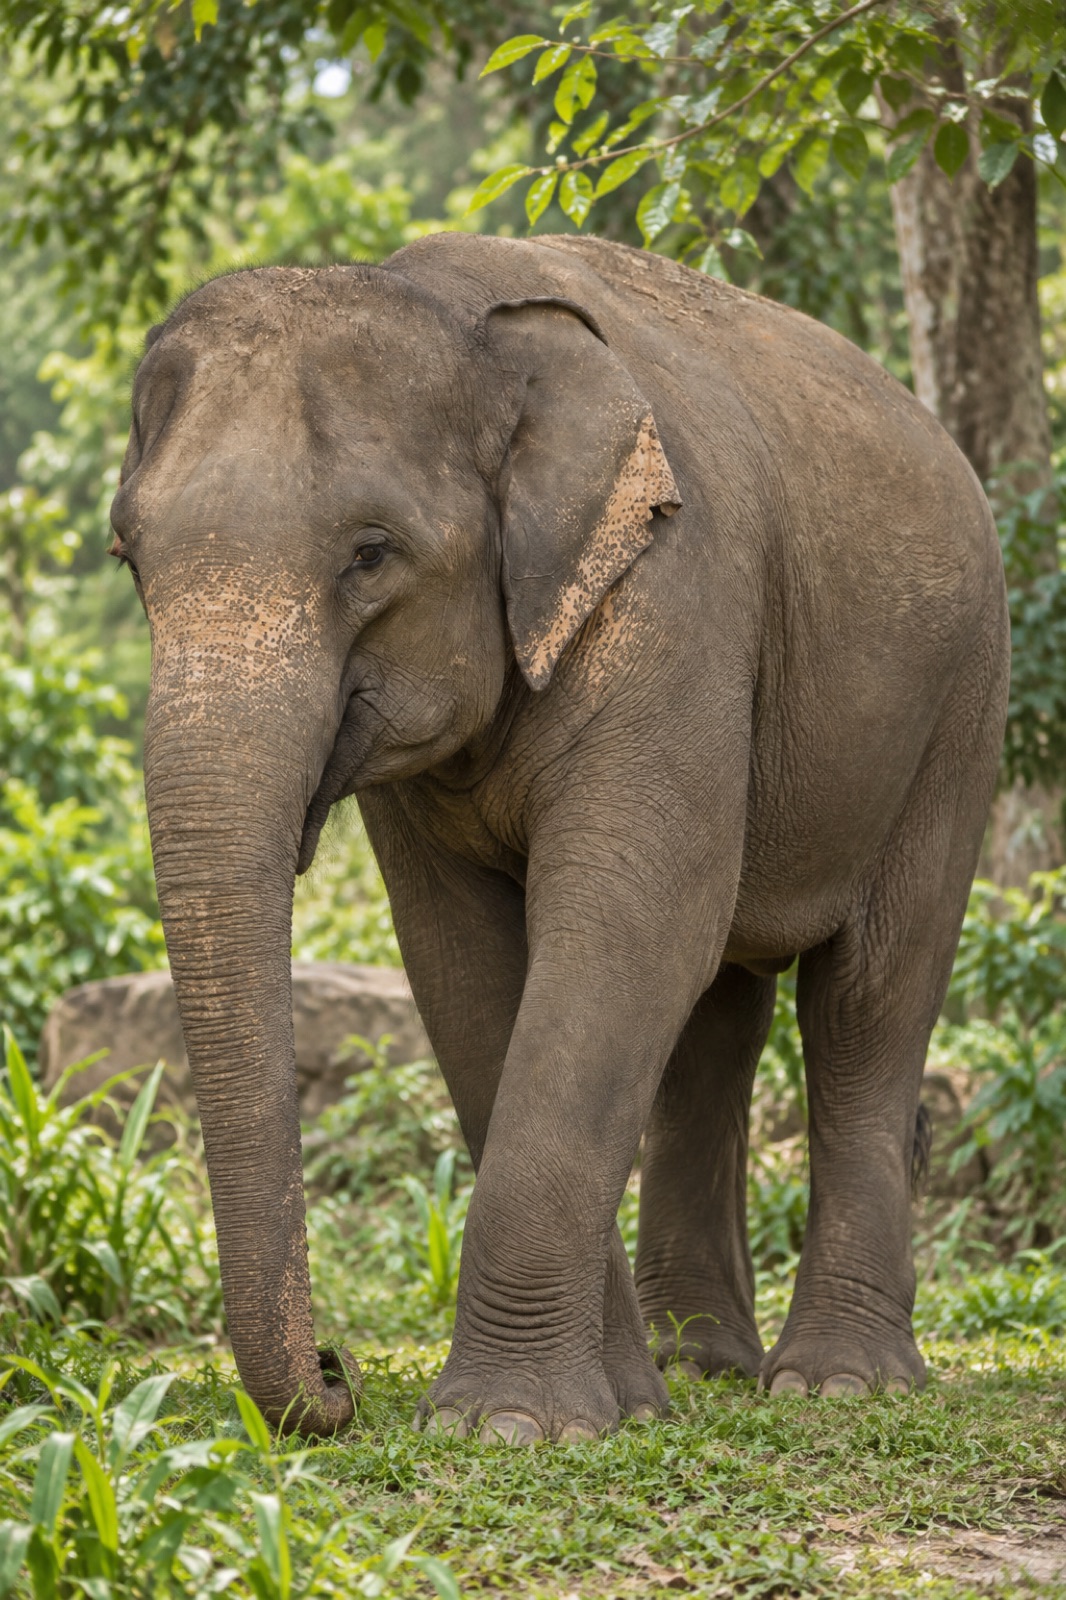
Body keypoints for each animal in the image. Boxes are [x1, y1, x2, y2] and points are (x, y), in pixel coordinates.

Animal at [109, 231, 1010, 1442]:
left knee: (871, 996)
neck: (455, 314)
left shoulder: (673, 601)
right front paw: (608, 1406)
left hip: (959, 704)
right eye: (129, 557)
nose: (338, 1377)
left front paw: (505, 1424)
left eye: (371, 554)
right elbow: (465, 965)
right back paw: (698, 1362)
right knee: (717, 1023)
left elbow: (630, 925)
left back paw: (836, 1382)